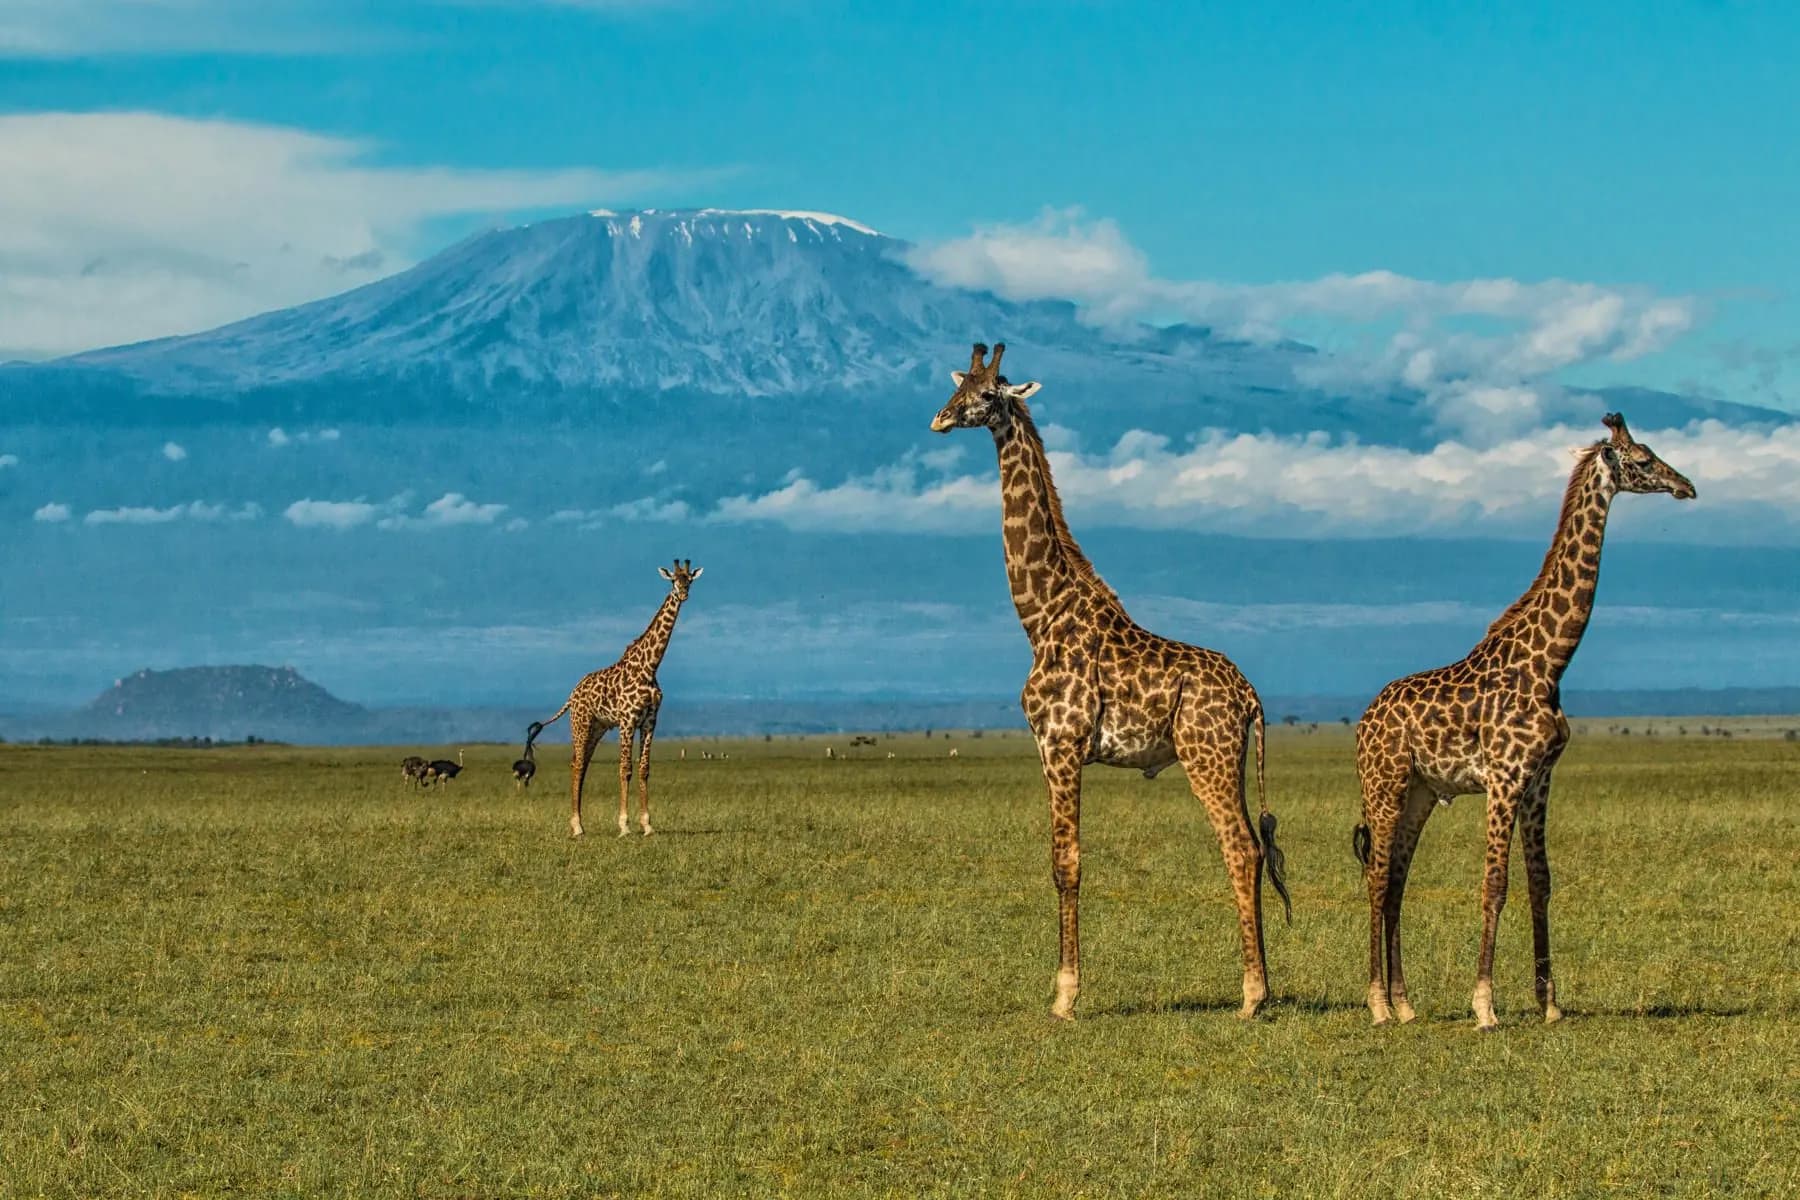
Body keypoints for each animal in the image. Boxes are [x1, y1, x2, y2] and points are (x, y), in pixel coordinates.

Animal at [526, 559, 703, 838]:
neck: (649, 667)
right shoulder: (628, 721)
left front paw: (647, 825)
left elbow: (644, 769)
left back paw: (579, 823)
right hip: (581, 723)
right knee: (577, 764)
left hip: (597, 728)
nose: (683, 593)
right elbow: (625, 769)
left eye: (690, 580)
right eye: (674, 580)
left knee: (582, 764)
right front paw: (624, 826)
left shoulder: (650, 721)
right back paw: (577, 826)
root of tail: (572, 694)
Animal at [932, 343, 1292, 1021]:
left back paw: (1252, 996)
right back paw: (1260, 988)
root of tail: (1252, 697)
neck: (1040, 614)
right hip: (1229, 760)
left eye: (989, 394)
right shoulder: (1055, 748)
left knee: (1239, 847)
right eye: (959, 386)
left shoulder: (1060, 744)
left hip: (1205, 757)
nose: (940, 419)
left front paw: (1065, 996)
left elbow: (1065, 862)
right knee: (1254, 849)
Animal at [1354, 413, 1695, 1030]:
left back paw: (1407, 1003)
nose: (1687, 485)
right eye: (1643, 458)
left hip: (1419, 792)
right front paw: (1485, 1005)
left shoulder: (1540, 779)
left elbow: (1541, 883)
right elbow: (1495, 884)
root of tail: (1364, 721)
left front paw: (1550, 1002)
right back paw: (1378, 1005)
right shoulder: (1505, 778)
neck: (1550, 661)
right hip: (1384, 784)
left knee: (1396, 883)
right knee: (1377, 880)